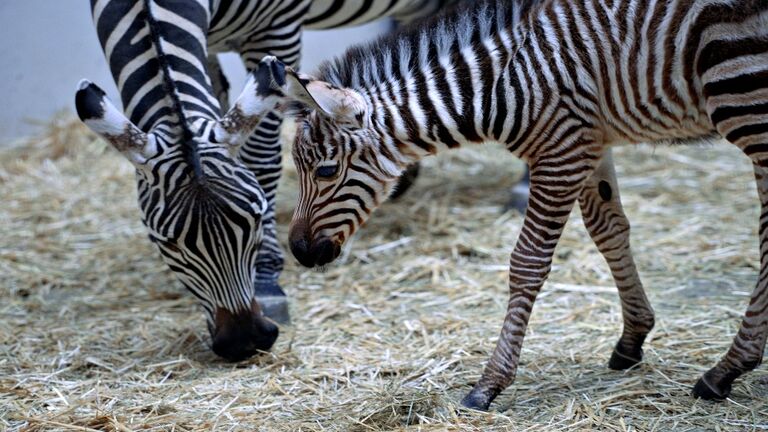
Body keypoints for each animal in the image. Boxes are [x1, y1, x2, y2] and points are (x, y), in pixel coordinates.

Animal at [73, 0, 456, 362]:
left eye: (255, 220)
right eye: (167, 243)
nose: (245, 341)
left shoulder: (276, 29)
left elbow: (260, 157)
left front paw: (267, 280)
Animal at [280, 0, 768, 410]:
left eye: (326, 171)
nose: (299, 252)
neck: (502, 84)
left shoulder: (561, 152)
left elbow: (527, 263)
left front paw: (488, 384)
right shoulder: (588, 141)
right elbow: (609, 230)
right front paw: (633, 338)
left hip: (745, 102)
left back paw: (726, 370)